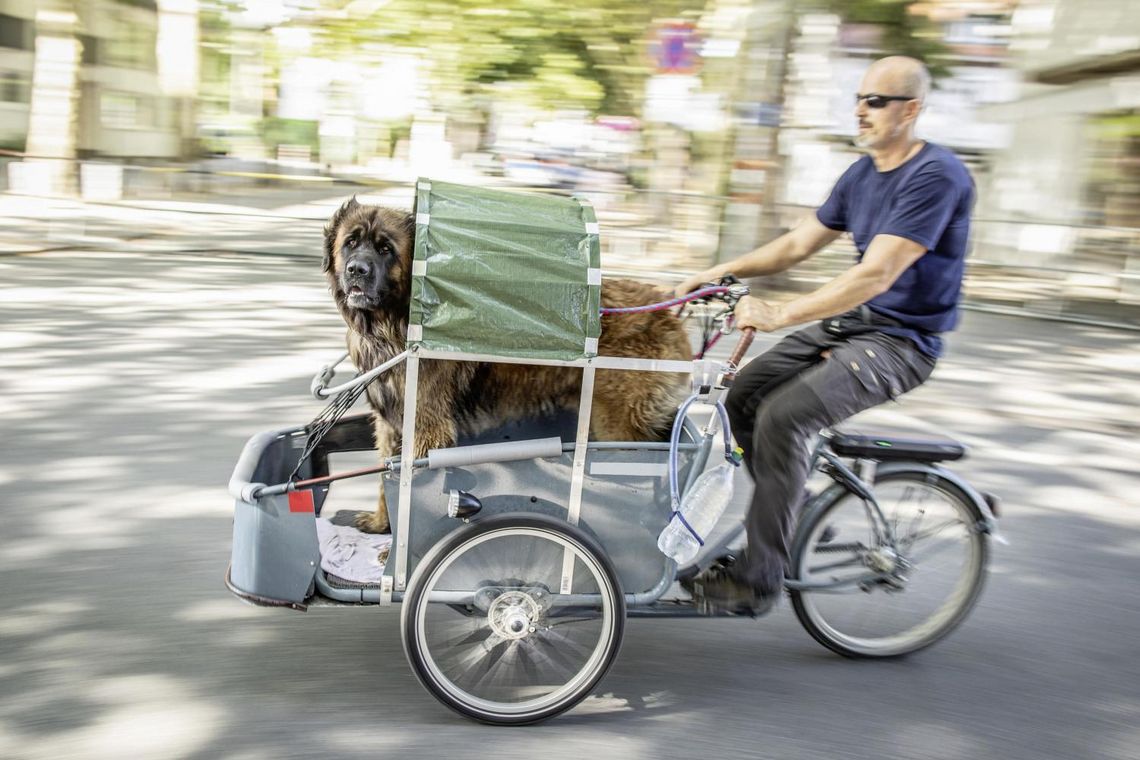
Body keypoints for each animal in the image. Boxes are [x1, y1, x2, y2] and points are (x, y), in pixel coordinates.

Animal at [326, 193, 688, 533]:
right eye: (351, 243)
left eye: (386, 249)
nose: (357, 270)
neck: (390, 323)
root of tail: (669, 316)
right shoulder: (389, 424)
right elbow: (384, 477)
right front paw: (381, 525)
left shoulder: (427, 428)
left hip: (617, 429)